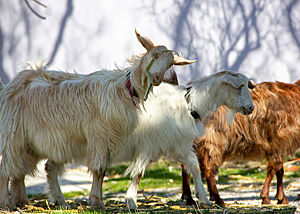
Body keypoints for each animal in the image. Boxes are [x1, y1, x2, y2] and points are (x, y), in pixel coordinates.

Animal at [0, 30, 195, 211]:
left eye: (171, 63)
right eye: (154, 55)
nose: (157, 78)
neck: (125, 89)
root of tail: (15, 83)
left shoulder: (109, 140)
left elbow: (103, 172)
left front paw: (97, 200)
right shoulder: (99, 137)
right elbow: (99, 169)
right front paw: (96, 202)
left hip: (37, 142)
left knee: (28, 169)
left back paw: (29, 202)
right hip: (14, 134)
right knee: (7, 168)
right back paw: (6, 204)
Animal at [42, 70, 254, 209]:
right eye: (240, 86)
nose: (251, 108)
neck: (186, 103)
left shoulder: (178, 144)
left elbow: (193, 166)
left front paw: (203, 199)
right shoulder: (149, 144)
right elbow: (138, 173)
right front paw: (131, 201)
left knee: (50, 166)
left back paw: (58, 199)